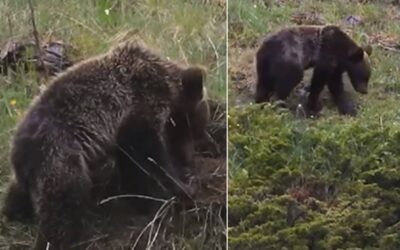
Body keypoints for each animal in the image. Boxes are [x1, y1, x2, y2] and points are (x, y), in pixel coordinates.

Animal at [2, 42, 209, 249]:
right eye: (193, 128)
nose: (190, 158)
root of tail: (19, 152)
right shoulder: (140, 110)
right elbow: (149, 155)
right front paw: (180, 187)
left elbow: (132, 166)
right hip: (60, 157)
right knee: (63, 208)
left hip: (34, 170)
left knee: (18, 195)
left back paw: (13, 212)